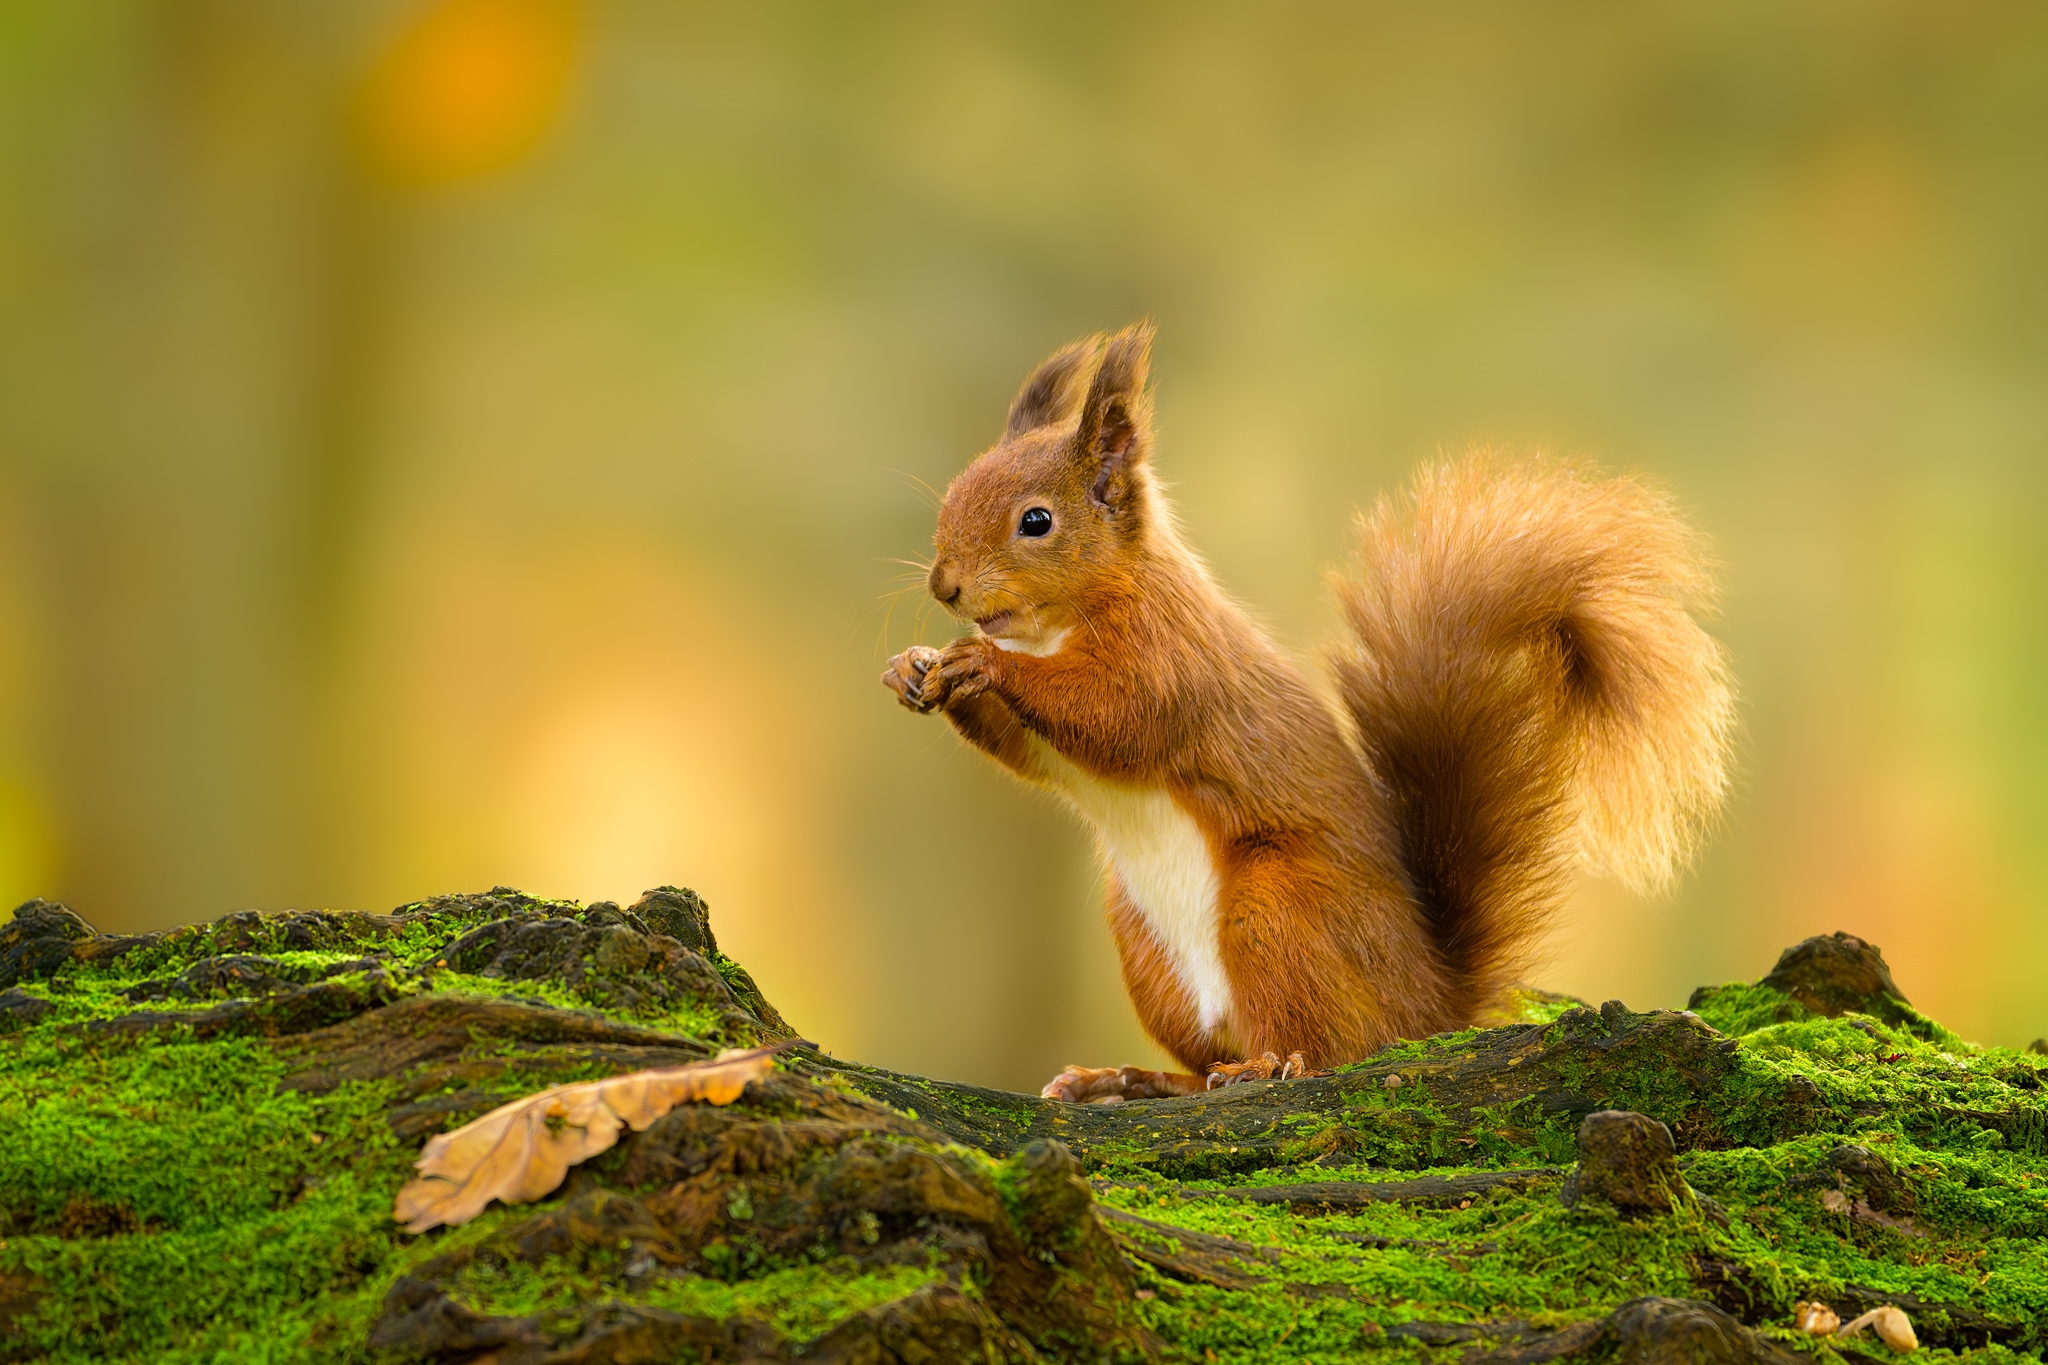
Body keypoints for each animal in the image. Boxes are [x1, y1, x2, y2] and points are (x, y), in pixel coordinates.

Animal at [880, 325, 1728, 1105]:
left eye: (1036, 521)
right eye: (956, 489)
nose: (945, 585)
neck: (1056, 625)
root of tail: (1427, 1006)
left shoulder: (1171, 661)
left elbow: (1116, 716)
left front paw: (983, 665)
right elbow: (1029, 752)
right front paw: (913, 668)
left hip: (1276, 907)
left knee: (1320, 1050)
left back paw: (1263, 1064)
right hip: (1147, 945)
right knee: (1205, 1066)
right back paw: (1129, 1079)